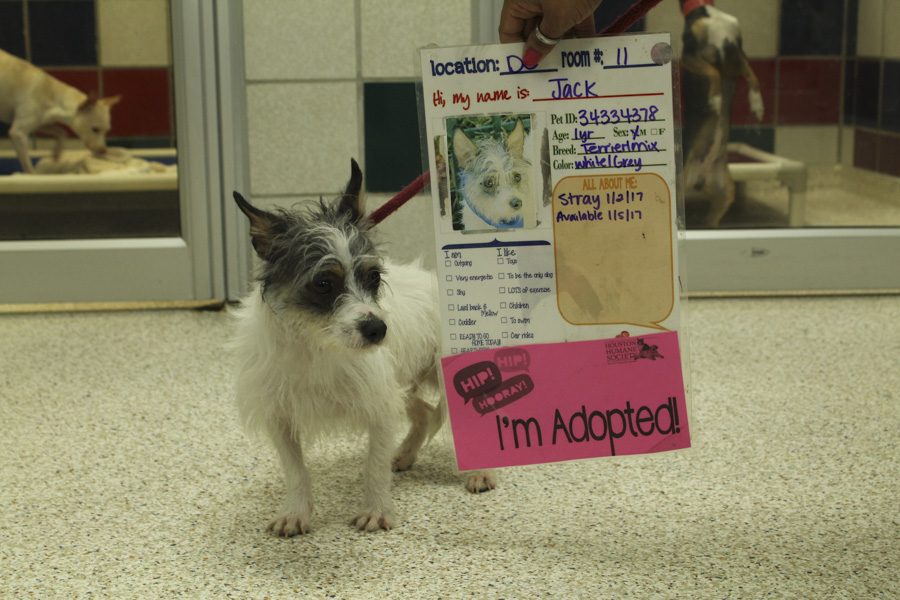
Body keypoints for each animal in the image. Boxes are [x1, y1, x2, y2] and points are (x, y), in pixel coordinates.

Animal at [230, 158, 500, 536]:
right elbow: (296, 471)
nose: (378, 329)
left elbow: (374, 466)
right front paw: (296, 512)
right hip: (404, 383)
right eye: (324, 283)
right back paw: (404, 454)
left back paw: (480, 470)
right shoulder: (280, 416)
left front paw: (376, 510)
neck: (319, 345)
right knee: (426, 415)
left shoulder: (381, 407)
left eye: (373, 276)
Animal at [684, 0, 760, 227]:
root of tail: (699, 178)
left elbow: (752, 75)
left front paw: (757, 104)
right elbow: (713, 72)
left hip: (725, 193)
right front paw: (716, 99)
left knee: (711, 220)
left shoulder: (738, 51)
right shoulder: (689, 56)